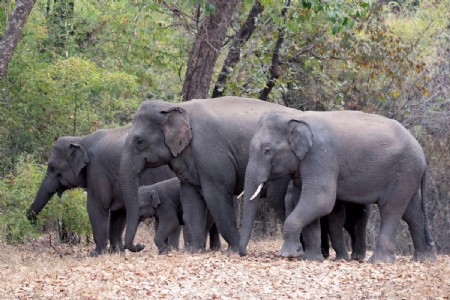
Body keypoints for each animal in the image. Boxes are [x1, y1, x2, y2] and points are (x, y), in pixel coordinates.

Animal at [25, 125, 175, 256]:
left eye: (52, 167)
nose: (34, 221)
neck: (81, 140)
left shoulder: (96, 169)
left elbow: (96, 207)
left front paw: (96, 254)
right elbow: (119, 212)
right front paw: (116, 252)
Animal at [118, 96, 310, 255]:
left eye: (139, 141)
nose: (140, 246)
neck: (176, 106)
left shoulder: (211, 156)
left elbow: (215, 196)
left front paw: (232, 251)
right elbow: (190, 198)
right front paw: (194, 251)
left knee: (277, 199)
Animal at [241, 110, 438, 262]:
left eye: (267, 151)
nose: (242, 254)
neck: (295, 117)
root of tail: (421, 151)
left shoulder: (320, 156)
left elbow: (320, 200)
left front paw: (288, 255)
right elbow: (305, 201)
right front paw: (311, 259)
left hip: (403, 172)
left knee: (391, 209)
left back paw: (380, 261)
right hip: (408, 175)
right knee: (412, 212)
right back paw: (425, 259)